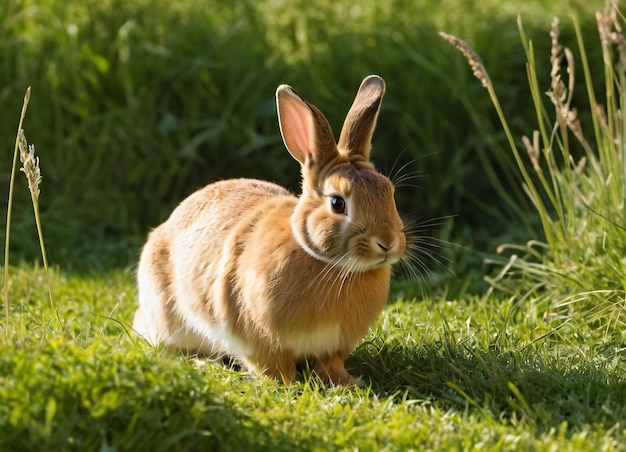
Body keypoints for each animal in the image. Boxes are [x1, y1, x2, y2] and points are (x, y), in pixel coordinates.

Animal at [134, 74, 404, 384]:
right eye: (337, 203)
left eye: (389, 192)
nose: (387, 243)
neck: (331, 265)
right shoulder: (259, 340)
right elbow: (272, 367)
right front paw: (286, 385)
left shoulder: (333, 348)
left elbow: (330, 365)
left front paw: (347, 383)